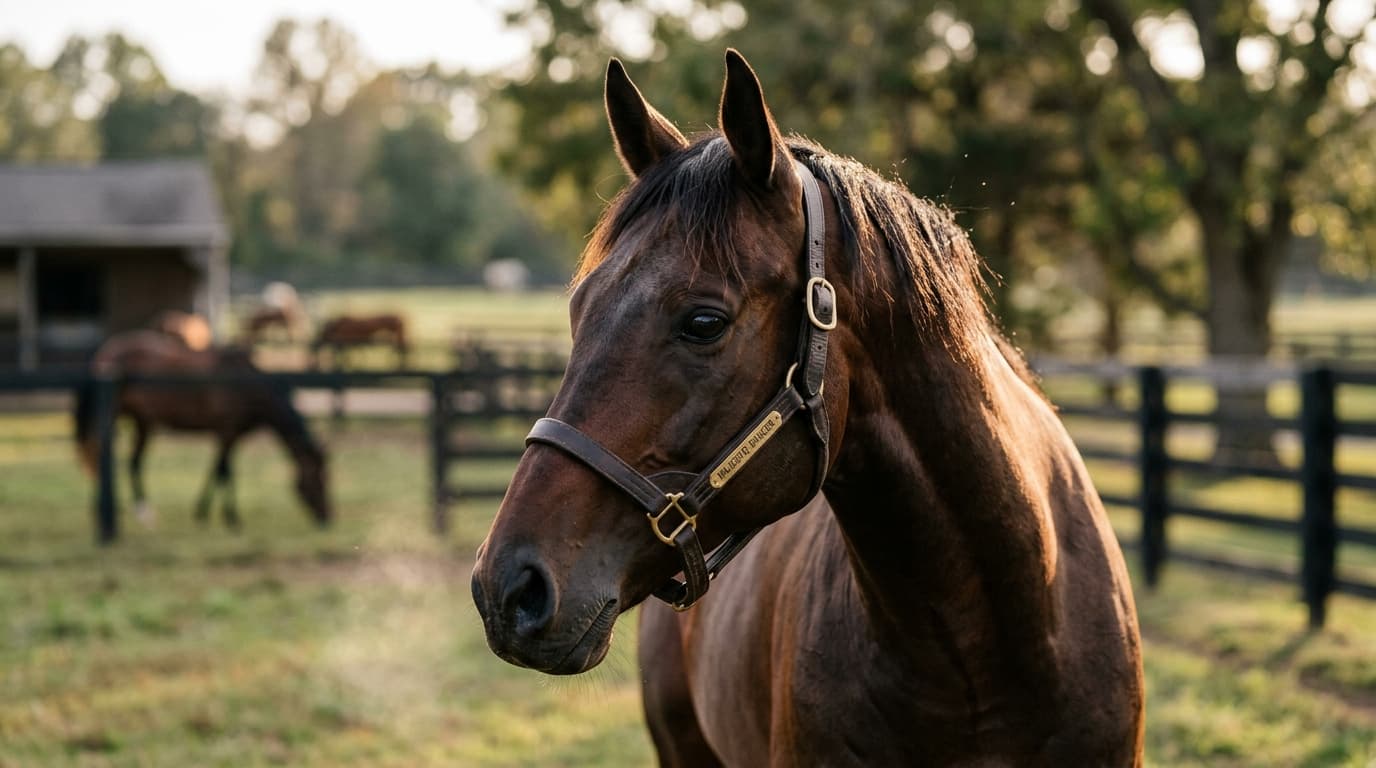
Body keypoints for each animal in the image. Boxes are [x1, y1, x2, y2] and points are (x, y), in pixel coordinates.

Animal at [74, 330, 331, 529]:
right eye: (317, 479)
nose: (327, 518)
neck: (246, 386)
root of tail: (106, 352)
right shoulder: (227, 431)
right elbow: (224, 471)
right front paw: (231, 518)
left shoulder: (228, 434)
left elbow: (215, 469)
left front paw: (203, 513)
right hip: (112, 415)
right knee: (101, 454)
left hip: (143, 421)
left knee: (133, 461)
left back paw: (140, 513)